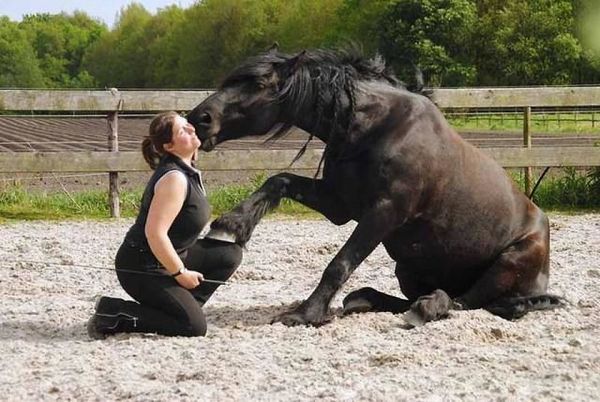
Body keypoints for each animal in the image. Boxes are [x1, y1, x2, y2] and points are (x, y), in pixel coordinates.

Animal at [189, 47, 564, 326]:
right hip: (407, 267)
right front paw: (230, 226)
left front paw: (305, 314)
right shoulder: (340, 204)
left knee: (465, 302)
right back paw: (364, 300)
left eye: (260, 83)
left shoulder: (385, 212)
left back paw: (429, 307)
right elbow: (277, 181)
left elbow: (339, 264)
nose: (199, 119)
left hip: (507, 264)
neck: (378, 127)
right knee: (417, 299)